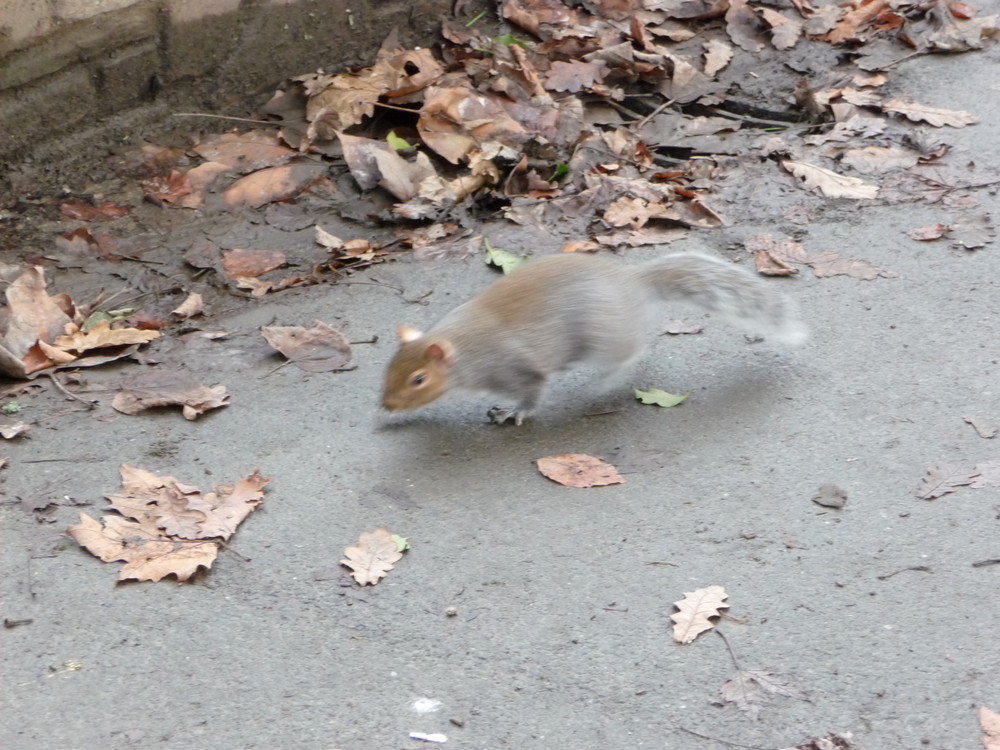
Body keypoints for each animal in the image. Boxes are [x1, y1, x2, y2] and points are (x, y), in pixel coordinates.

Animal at [378, 253, 808, 426]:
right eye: (388, 368)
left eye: (419, 379)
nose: (386, 406)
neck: (464, 347)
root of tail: (630, 282)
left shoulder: (514, 369)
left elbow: (531, 393)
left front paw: (513, 413)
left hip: (605, 336)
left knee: (631, 352)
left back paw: (603, 382)